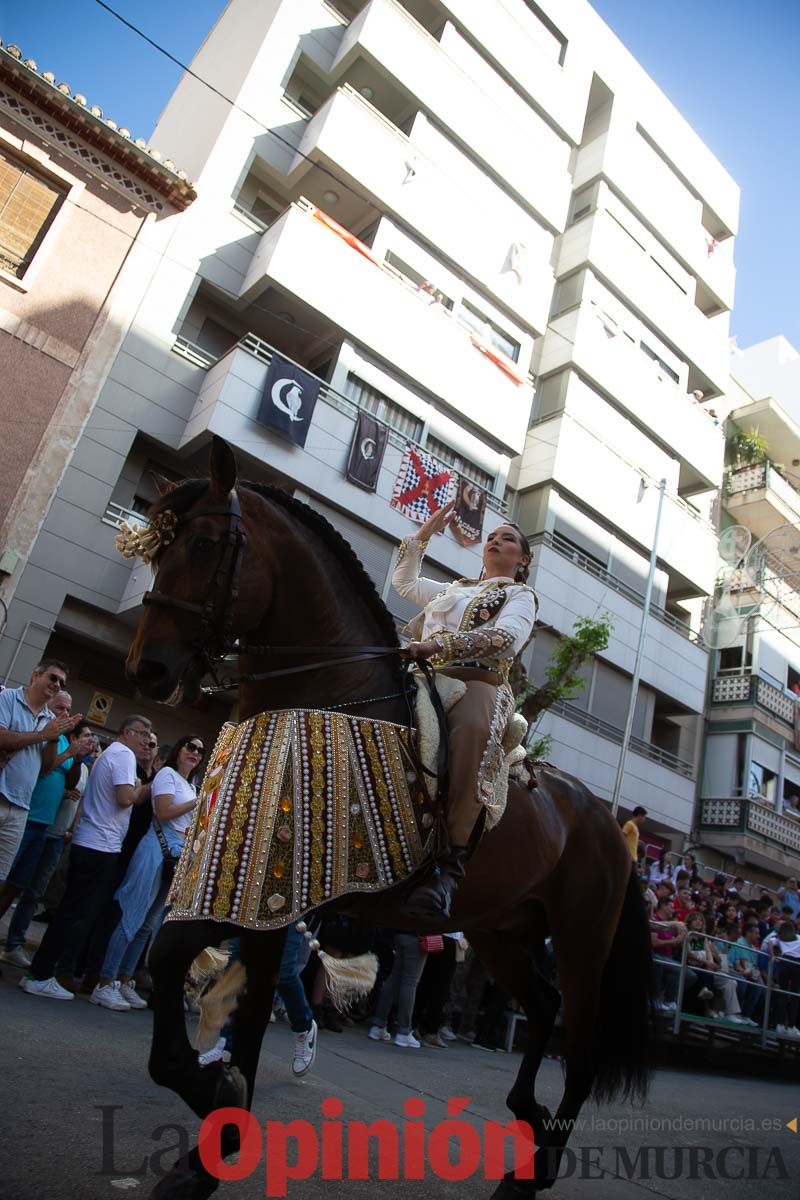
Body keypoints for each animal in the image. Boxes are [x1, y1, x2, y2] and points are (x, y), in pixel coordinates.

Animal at [125, 441, 652, 1200]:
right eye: (159, 547)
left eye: (201, 545)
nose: (148, 671)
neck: (328, 692)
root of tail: (613, 828)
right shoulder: (265, 893)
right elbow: (225, 1006)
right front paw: (211, 1144)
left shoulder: (267, 886)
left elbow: (176, 971)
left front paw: (213, 1101)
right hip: (499, 930)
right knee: (544, 1007)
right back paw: (526, 1129)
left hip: (583, 939)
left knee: (578, 1044)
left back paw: (540, 1166)